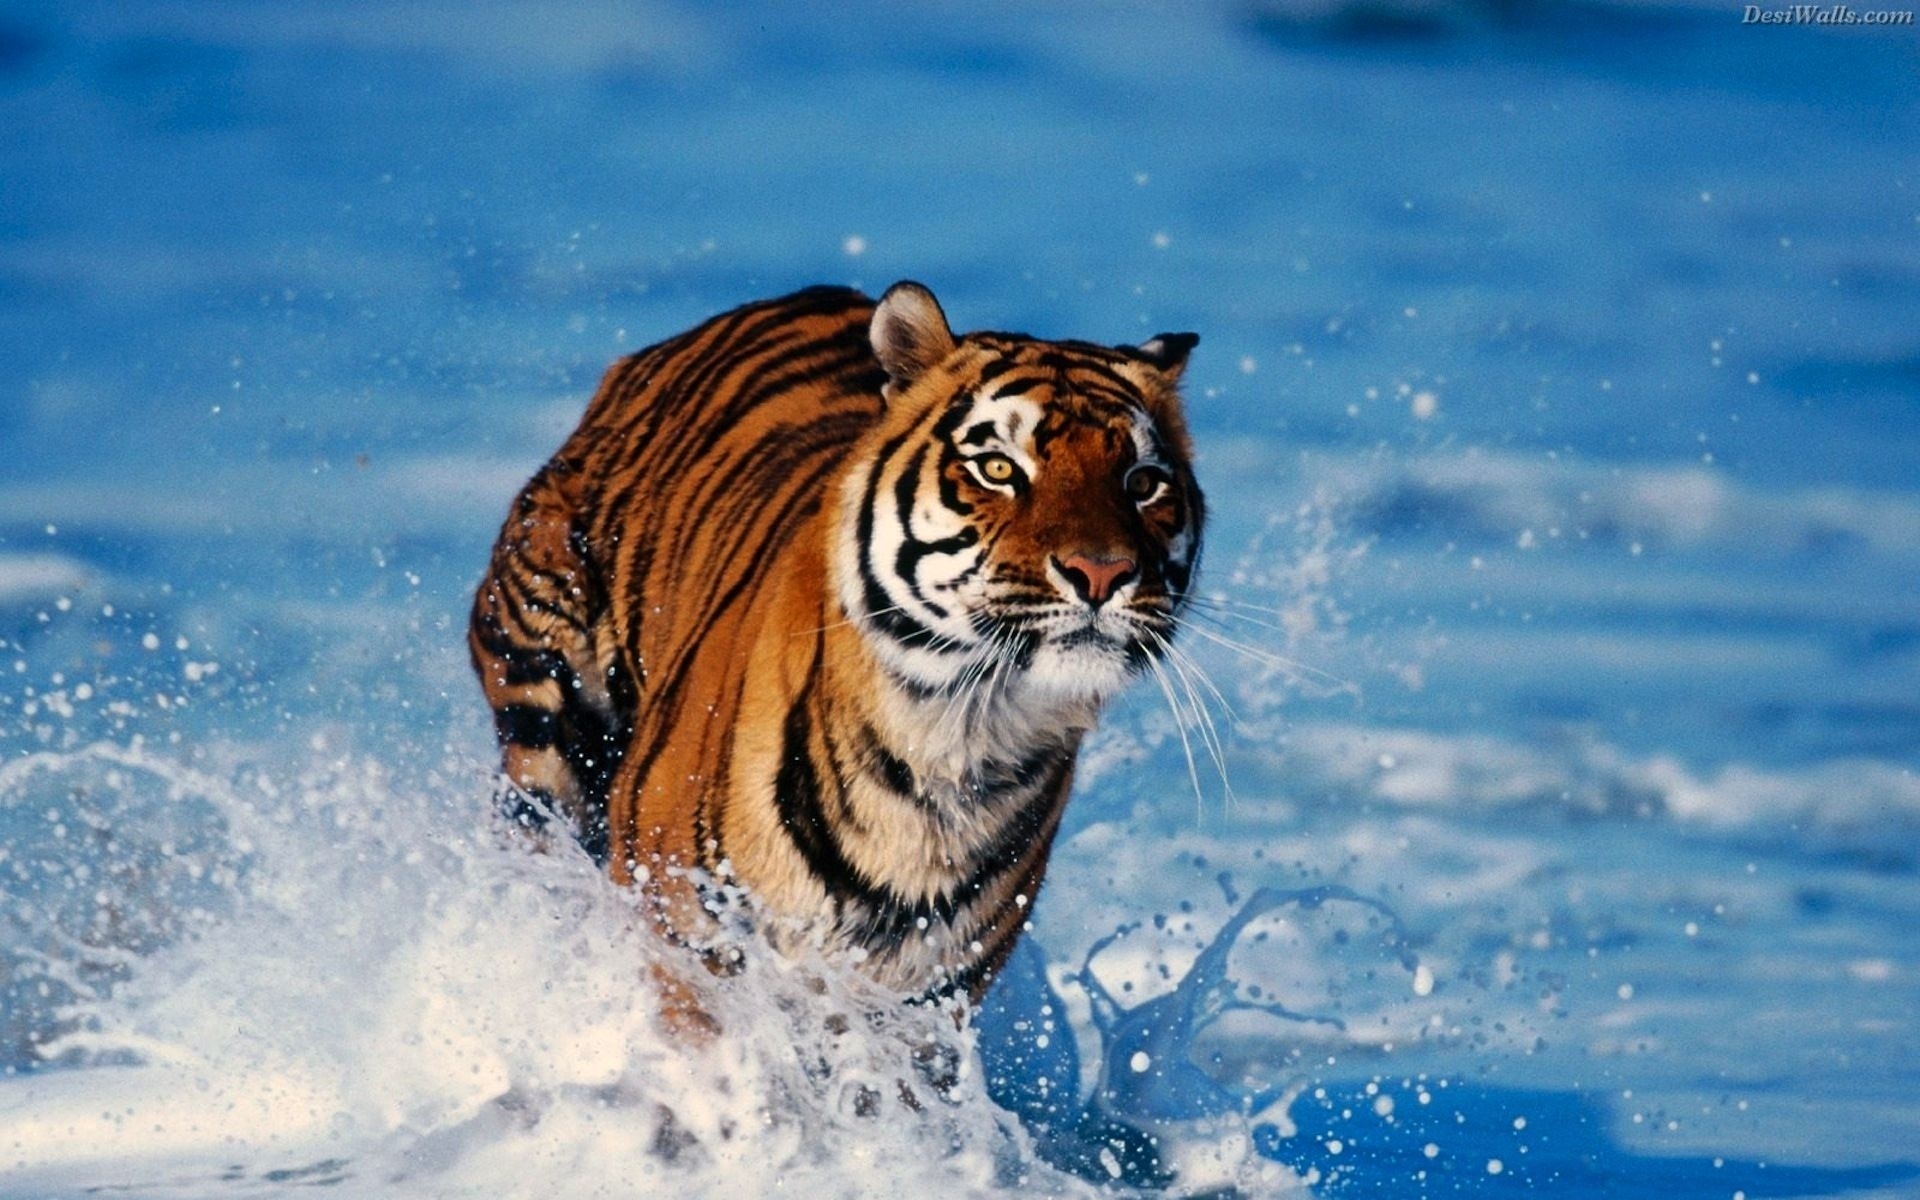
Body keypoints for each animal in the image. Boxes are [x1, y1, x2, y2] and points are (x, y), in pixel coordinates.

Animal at [469, 281, 1203, 1005]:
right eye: (997, 468)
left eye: (1143, 483)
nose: (1102, 573)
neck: (955, 743)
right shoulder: (686, 936)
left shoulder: (927, 1000)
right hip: (546, 717)